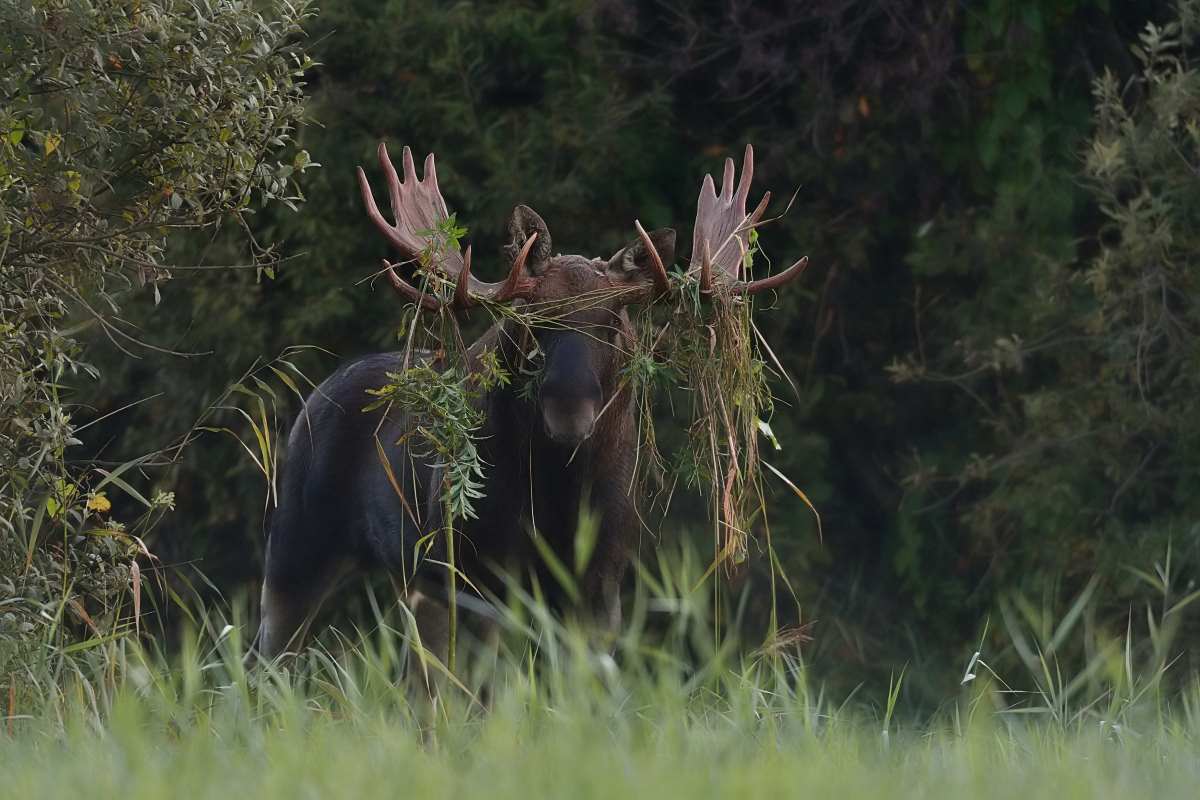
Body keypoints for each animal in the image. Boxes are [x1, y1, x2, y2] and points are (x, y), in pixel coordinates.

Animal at [258, 140, 811, 662]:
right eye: (532, 318)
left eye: (613, 322)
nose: (568, 410)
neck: (557, 494)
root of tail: (311, 401)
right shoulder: (468, 574)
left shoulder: (599, 583)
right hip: (298, 547)